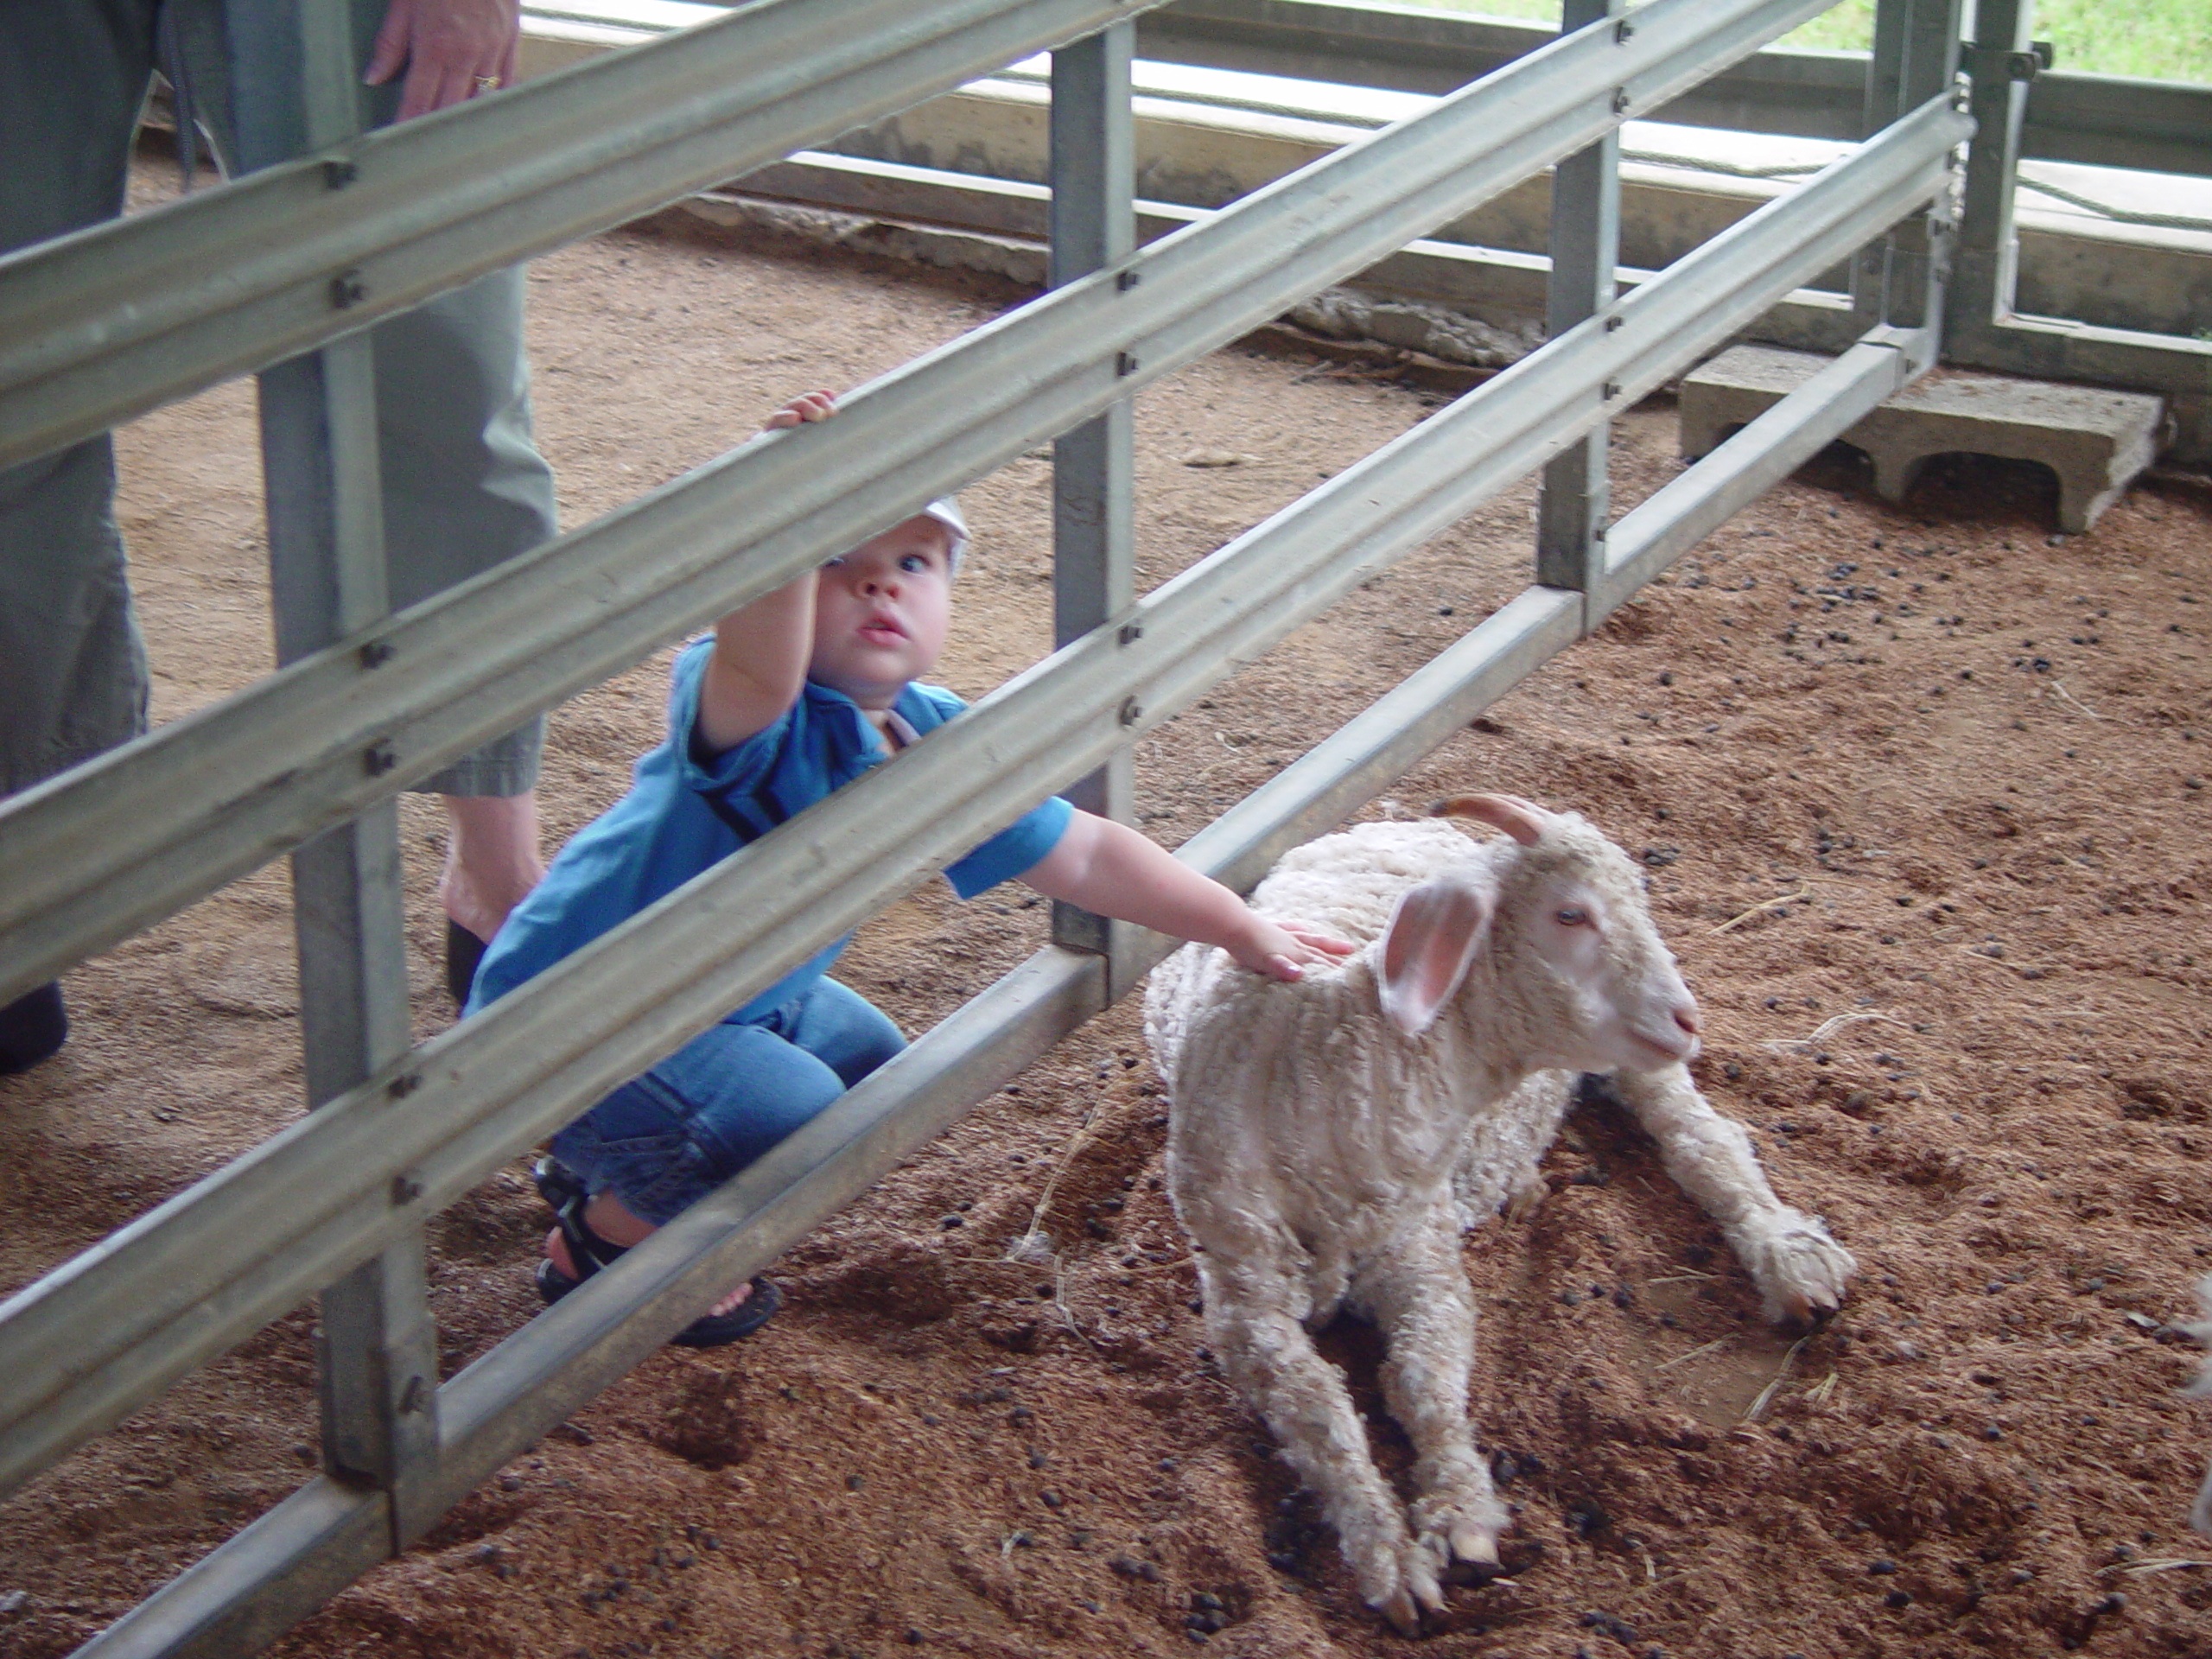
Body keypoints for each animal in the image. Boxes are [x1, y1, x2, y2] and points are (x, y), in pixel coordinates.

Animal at [1150, 796, 1858, 1637]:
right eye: (1570, 913)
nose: (1688, 1019)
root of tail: (1392, 821)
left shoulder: (1416, 1249)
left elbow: (1423, 1375)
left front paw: (1460, 1517)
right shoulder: (1243, 1299)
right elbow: (1319, 1412)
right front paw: (1389, 1553)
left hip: (1634, 1066)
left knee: (1702, 1139)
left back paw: (1788, 1253)